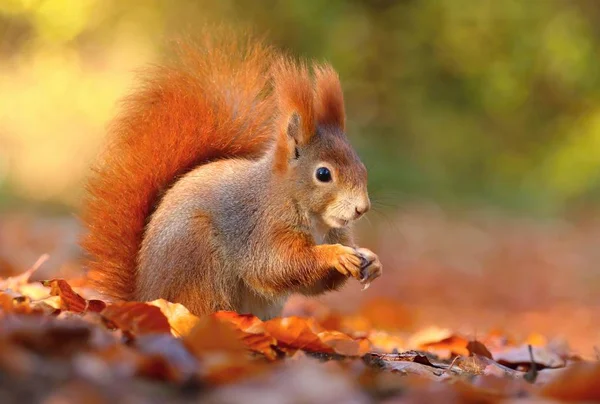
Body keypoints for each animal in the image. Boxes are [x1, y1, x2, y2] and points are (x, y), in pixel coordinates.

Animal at [79, 33, 382, 320]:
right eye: (323, 173)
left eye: (362, 166)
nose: (362, 208)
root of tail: (145, 296)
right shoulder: (261, 227)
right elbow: (277, 265)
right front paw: (336, 254)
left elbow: (309, 284)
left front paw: (371, 260)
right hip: (198, 257)